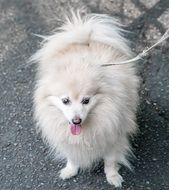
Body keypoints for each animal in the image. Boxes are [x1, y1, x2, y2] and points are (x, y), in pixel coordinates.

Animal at [32, 12, 139, 189]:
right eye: (65, 100)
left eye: (86, 101)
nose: (76, 121)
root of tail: (86, 39)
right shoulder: (68, 140)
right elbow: (72, 156)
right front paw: (70, 170)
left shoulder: (113, 136)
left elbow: (110, 161)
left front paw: (113, 177)